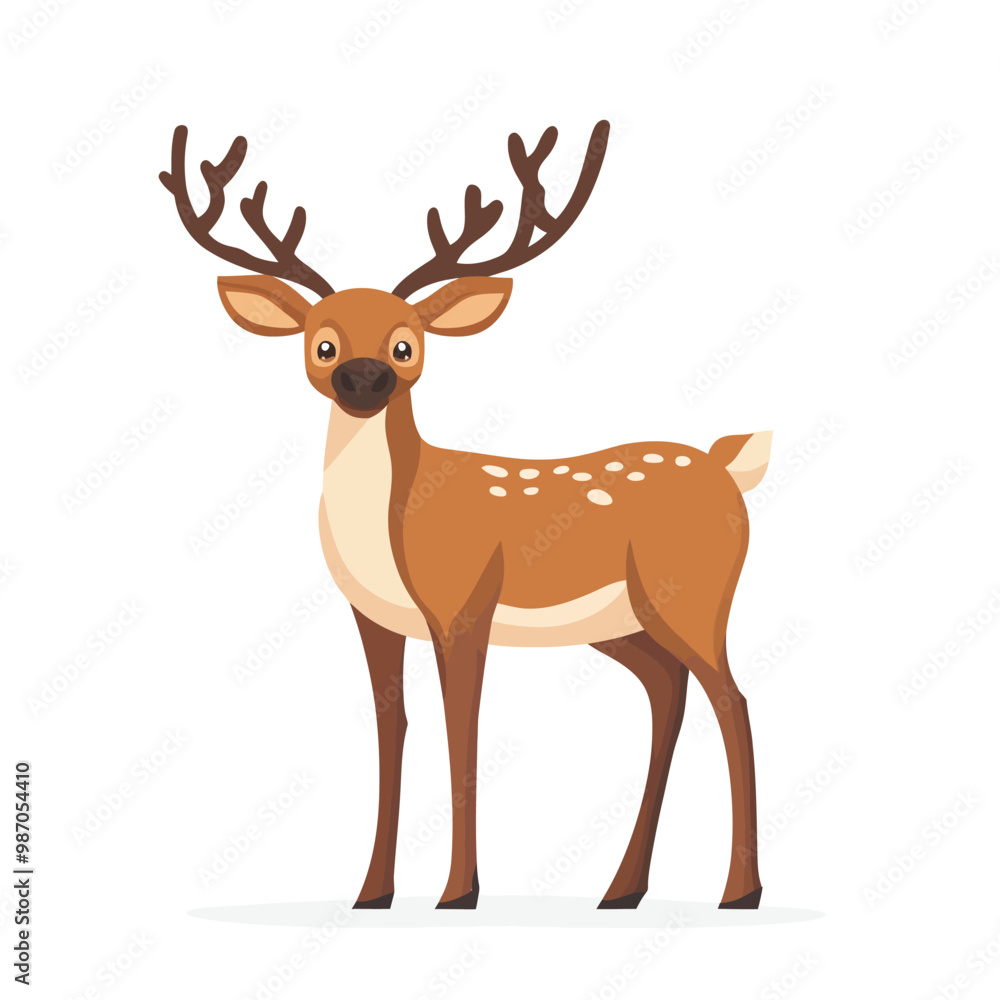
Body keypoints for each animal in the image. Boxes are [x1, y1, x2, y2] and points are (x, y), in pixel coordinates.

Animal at [160, 120, 772, 912]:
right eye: (322, 343)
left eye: (406, 344)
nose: (363, 379)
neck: (392, 523)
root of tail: (729, 465)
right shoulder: (372, 617)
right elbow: (393, 727)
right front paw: (372, 893)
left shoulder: (464, 602)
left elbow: (462, 729)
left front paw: (459, 892)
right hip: (623, 623)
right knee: (669, 692)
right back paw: (622, 890)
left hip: (693, 594)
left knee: (734, 700)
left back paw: (740, 892)